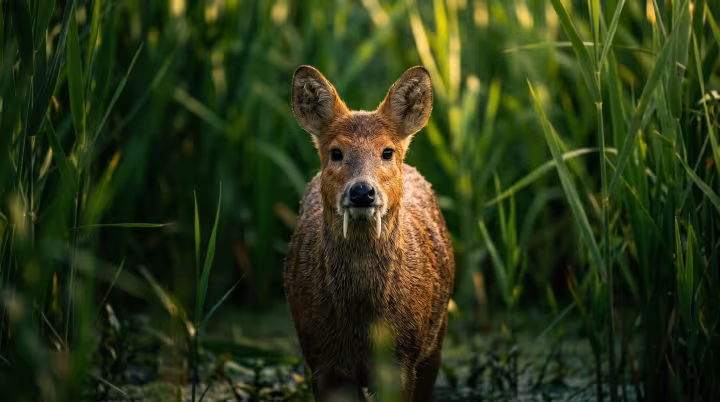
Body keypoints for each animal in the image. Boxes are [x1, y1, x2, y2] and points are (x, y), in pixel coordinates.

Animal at [284, 65, 455, 402]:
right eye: (336, 152)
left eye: (387, 151)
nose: (362, 191)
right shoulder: (322, 360)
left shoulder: (401, 361)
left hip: (435, 340)